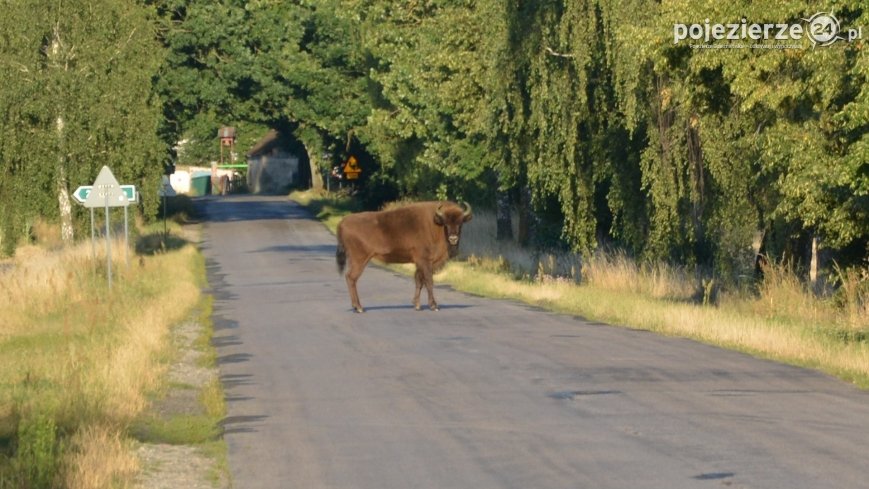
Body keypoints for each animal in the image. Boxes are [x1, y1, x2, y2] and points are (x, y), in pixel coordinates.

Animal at [338, 200, 472, 310]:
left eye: (460, 223)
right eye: (446, 223)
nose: (453, 238)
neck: (435, 223)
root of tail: (343, 222)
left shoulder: (421, 263)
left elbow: (419, 280)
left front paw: (416, 305)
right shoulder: (425, 261)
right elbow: (429, 281)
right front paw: (434, 306)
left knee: (351, 278)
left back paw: (357, 306)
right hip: (359, 260)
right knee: (351, 277)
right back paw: (359, 307)